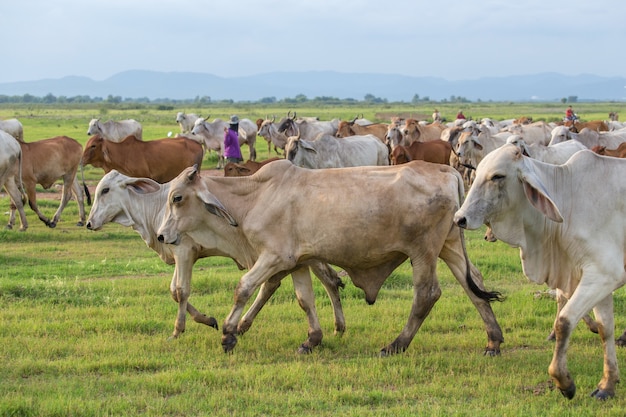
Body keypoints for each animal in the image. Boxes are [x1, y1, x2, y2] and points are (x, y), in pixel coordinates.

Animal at [84, 171, 346, 340]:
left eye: (105, 190)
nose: (88, 223)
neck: (154, 208)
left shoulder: (184, 251)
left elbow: (181, 291)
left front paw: (178, 330)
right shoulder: (180, 254)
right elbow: (173, 291)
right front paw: (207, 319)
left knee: (326, 280)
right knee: (290, 283)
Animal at [156, 161, 502, 356]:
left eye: (177, 198)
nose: (161, 235)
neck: (254, 197)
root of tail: (448, 170)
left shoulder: (274, 256)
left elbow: (243, 288)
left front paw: (229, 333)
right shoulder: (297, 262)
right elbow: (304, 300)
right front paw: (312, 339)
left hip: (424, 251)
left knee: (427, 295)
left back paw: (396, 345)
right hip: (449, 245)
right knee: (475, 286)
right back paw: (493, 342)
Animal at [454, 144, 624, 400]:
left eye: (497, 176)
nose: (459, 218)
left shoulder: (604, 275)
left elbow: (564, 322)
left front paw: (564, 382)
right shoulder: (598, 278)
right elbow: (605, 329)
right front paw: (607, 385)